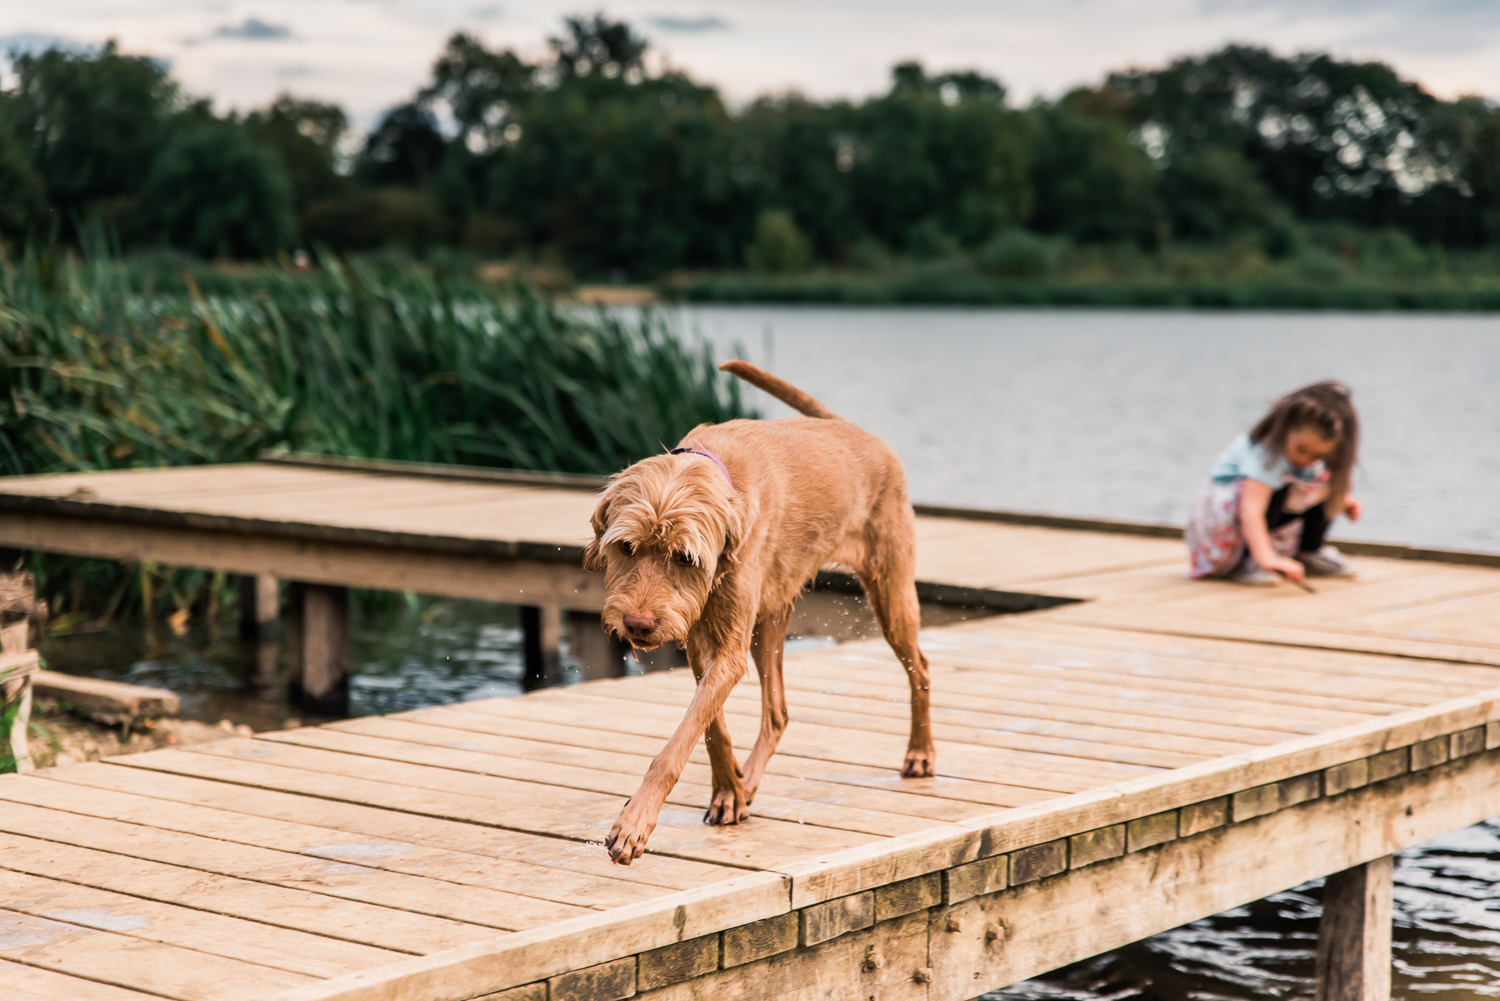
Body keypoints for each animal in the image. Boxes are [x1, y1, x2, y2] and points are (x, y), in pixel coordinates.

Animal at [582, 364, 924, 864]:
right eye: (626, 547)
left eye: (684, 558)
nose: (639, 625)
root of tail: (858, 433)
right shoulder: (702, 642)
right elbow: (712, 729)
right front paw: (729, 790)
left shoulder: (728, 650)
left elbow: (679, 742)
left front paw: (635, 822)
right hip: (771, 621)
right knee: (777, 712)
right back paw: (748, 782)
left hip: (891, 596)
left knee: (921, 670)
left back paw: (921, 754)